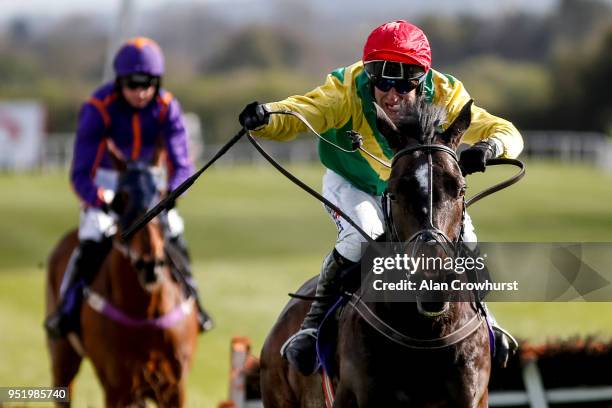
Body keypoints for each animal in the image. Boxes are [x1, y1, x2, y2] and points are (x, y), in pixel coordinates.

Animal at [46, 160, 198, 408]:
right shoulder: (118, 388)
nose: (149, 264)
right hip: (62, 357)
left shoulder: (173, 388)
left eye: (161, 194)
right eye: (121, 199)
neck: (146, 314)